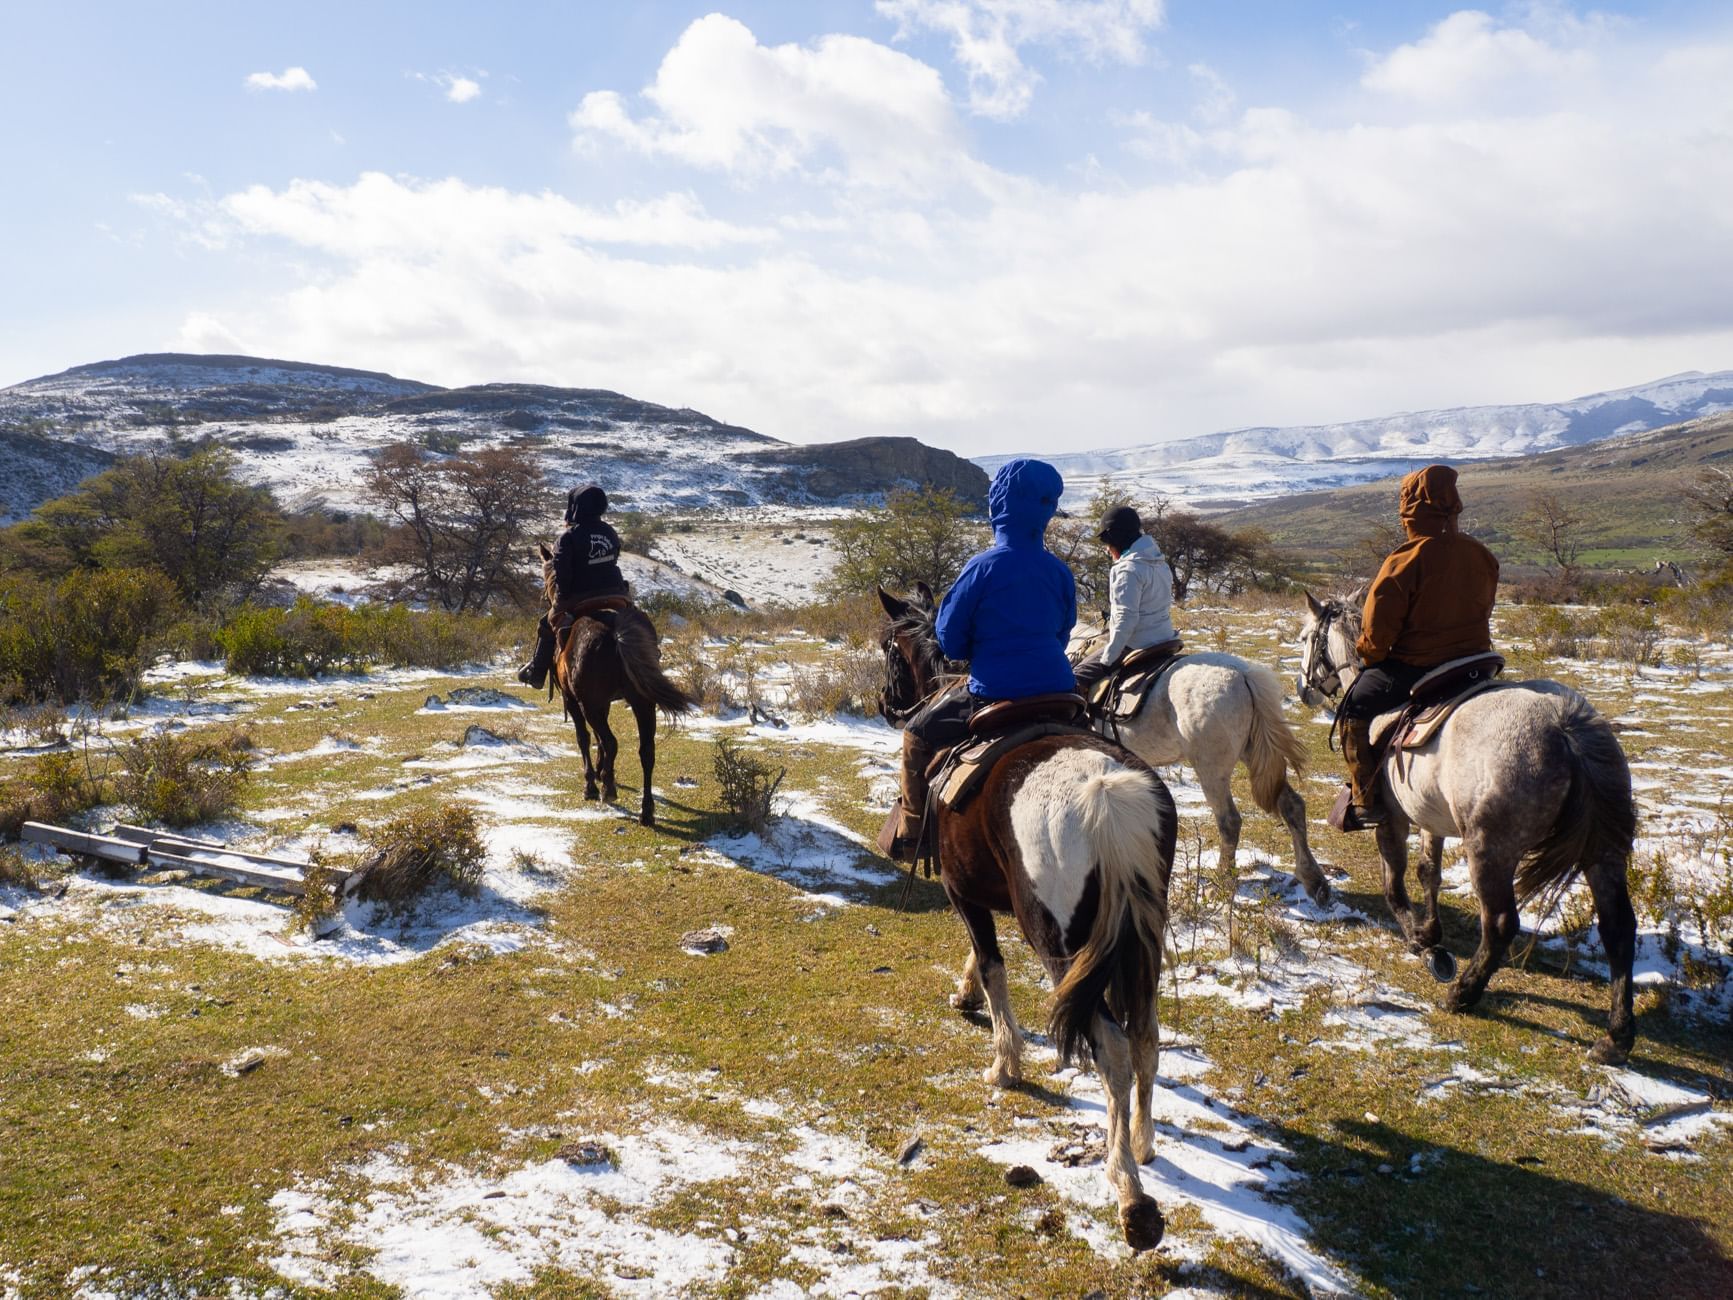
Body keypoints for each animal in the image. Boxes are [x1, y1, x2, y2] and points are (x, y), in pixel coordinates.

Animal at [537, 544, 693, 828]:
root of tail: (614, 629)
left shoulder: (573, 700)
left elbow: (585, 738)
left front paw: (592, 782)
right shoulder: (604, 703)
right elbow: (598, 739)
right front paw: (602, 770)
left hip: (590, 704)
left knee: (611, 741)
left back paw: (607, 790)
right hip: (642, 702)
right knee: (646, 751)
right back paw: (646, 811)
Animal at [880, 589, 1178, 1254]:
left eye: (888, 650)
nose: (887, 704)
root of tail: (1106, 793)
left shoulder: (963, 892)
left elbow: (992, 964)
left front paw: (1004, 1063)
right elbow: (979, 958)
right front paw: (965, 994)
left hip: (1060, 944)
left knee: (1113, 1049)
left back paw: (1130, 1195)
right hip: (1140, 936)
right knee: (1145, 1034)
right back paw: (1142, 1145)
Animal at [1067, 620, 1324, 908]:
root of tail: (1243, 675)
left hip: (1211, 771)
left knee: (1229, 822)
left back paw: (1222, 883)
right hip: (1255, 754)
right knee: (1292, 806)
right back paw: (1314, 881)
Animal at [1303, 596, 1635, 1060]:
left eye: (1306, 638)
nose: (1303, 689)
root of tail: (1565, 727)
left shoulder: (1393, 819)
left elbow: (1394, 883)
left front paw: (1420, 941)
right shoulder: (1431, 817)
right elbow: (1429, 872)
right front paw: (1430, 929)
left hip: (1490, 850)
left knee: (1499, 923)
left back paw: (1462, 993)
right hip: (1603, 854)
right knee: (1618, 927)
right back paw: (1616, 1037)